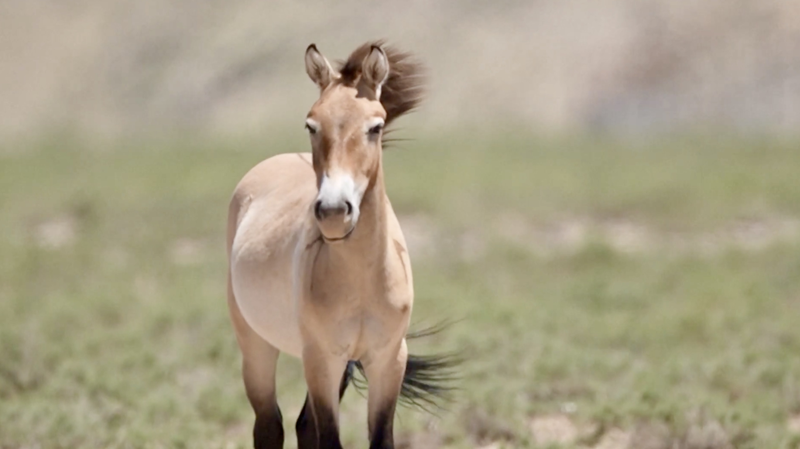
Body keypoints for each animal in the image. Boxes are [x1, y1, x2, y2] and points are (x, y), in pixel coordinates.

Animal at [226, 41, 454, 449]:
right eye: (311, 124)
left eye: (375, 127)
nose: (333, 211)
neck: (362, 279)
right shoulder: (321, 359)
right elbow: (328, 438)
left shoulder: (387, 360)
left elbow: (376, 438)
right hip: (256, 345)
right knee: (269, 425)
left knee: (303, 426)